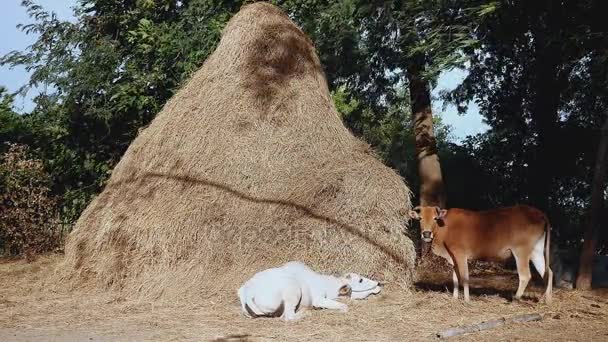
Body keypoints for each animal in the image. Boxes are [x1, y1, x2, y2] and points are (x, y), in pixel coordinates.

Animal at [238, 262, 380, 320]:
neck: (329, 284)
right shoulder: (318, 299)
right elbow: (344, 306)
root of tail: (246, 292)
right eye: (360, 280)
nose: (378, 284)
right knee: (288, 317)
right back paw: (305, 312)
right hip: (294, 289)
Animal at [410, 204, 552, 304]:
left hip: (521, 252)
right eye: (420, 218)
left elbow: (464, 278)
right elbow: (455, 278)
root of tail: (539, 213)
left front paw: (467, 300)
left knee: (525, 275)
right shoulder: (452, 257)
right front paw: (454, 298)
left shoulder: (460, 254)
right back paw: (546, 299)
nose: (426, 234)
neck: (445, 227)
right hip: (536, 252)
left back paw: (515, 299)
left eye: (435, 218)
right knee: (548, 272)